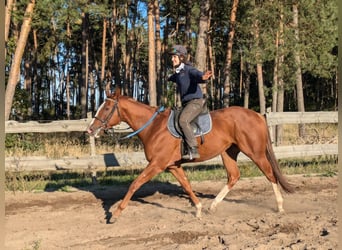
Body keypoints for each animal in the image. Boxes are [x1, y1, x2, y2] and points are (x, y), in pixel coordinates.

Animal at [87, 89, 292, 221]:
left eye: (106, 108)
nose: (90, 129)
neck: (153, 127)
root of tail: (257, 115)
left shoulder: (157, 164)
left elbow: (135, 184)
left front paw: (116, 214)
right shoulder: (172, 166)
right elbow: (186, 185)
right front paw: (199, 209)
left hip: (255, 153)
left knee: (270, 174)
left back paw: (281, 206)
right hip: (228, 152)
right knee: (234, 176)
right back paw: (212, 206)